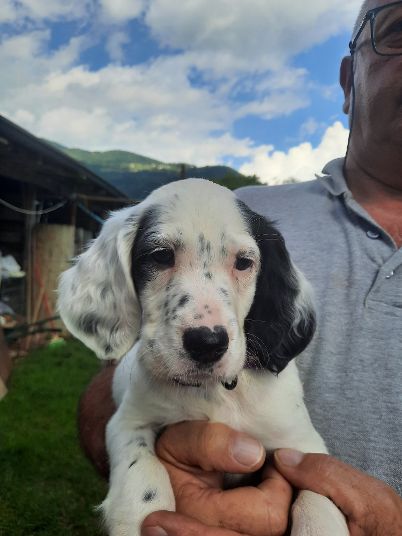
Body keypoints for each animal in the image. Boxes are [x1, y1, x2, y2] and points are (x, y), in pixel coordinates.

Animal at [57, 180, 348, 536]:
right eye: (161, 256)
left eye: (244, 262)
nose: (207, 343)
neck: (216, 392)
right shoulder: (127, 421)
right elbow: (141, 468)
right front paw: (140, 512)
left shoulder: (302, 443)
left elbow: (317, 495)